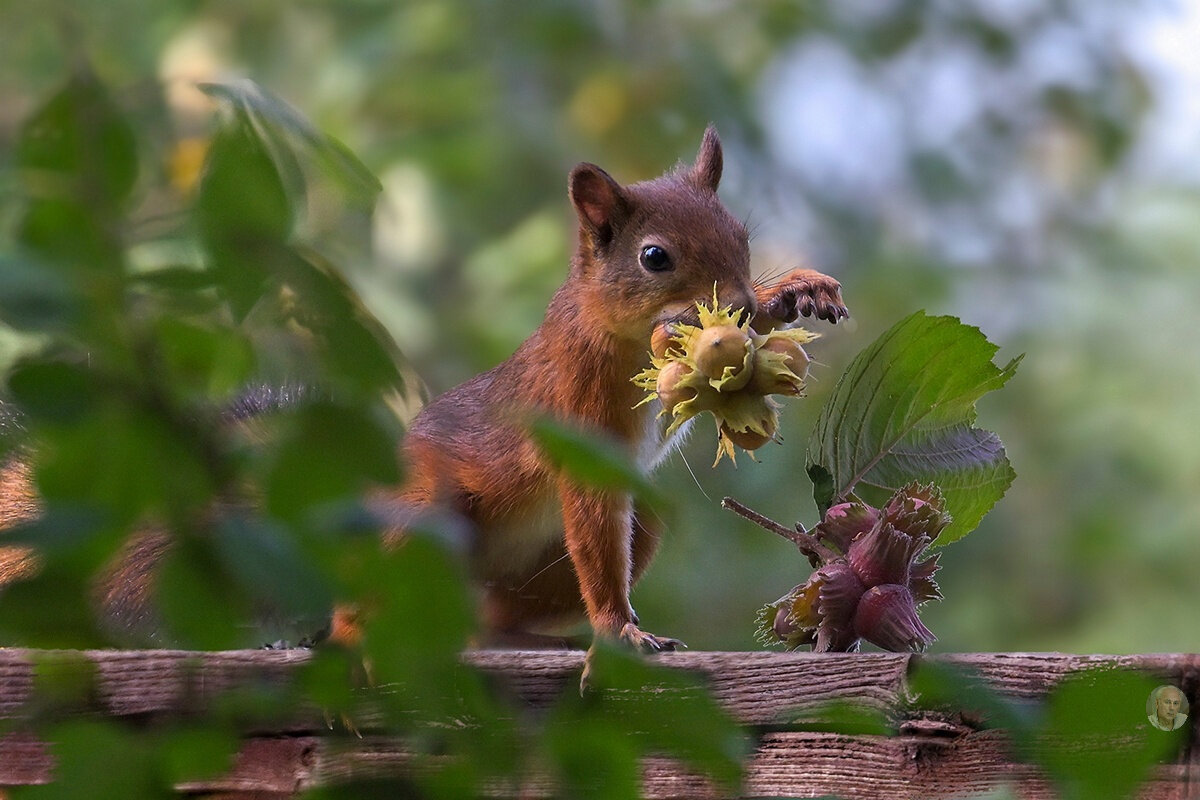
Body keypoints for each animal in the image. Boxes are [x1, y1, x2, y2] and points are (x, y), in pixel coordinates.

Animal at [388, 125, 849, 652]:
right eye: (654, 257)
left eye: (741, 236)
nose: (742, 305)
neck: (628, 339)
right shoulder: (579, 402)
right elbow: (593, 518)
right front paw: (618, 627)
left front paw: (795, 290)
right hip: (425, 517)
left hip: (624, 528)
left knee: (493, 621)